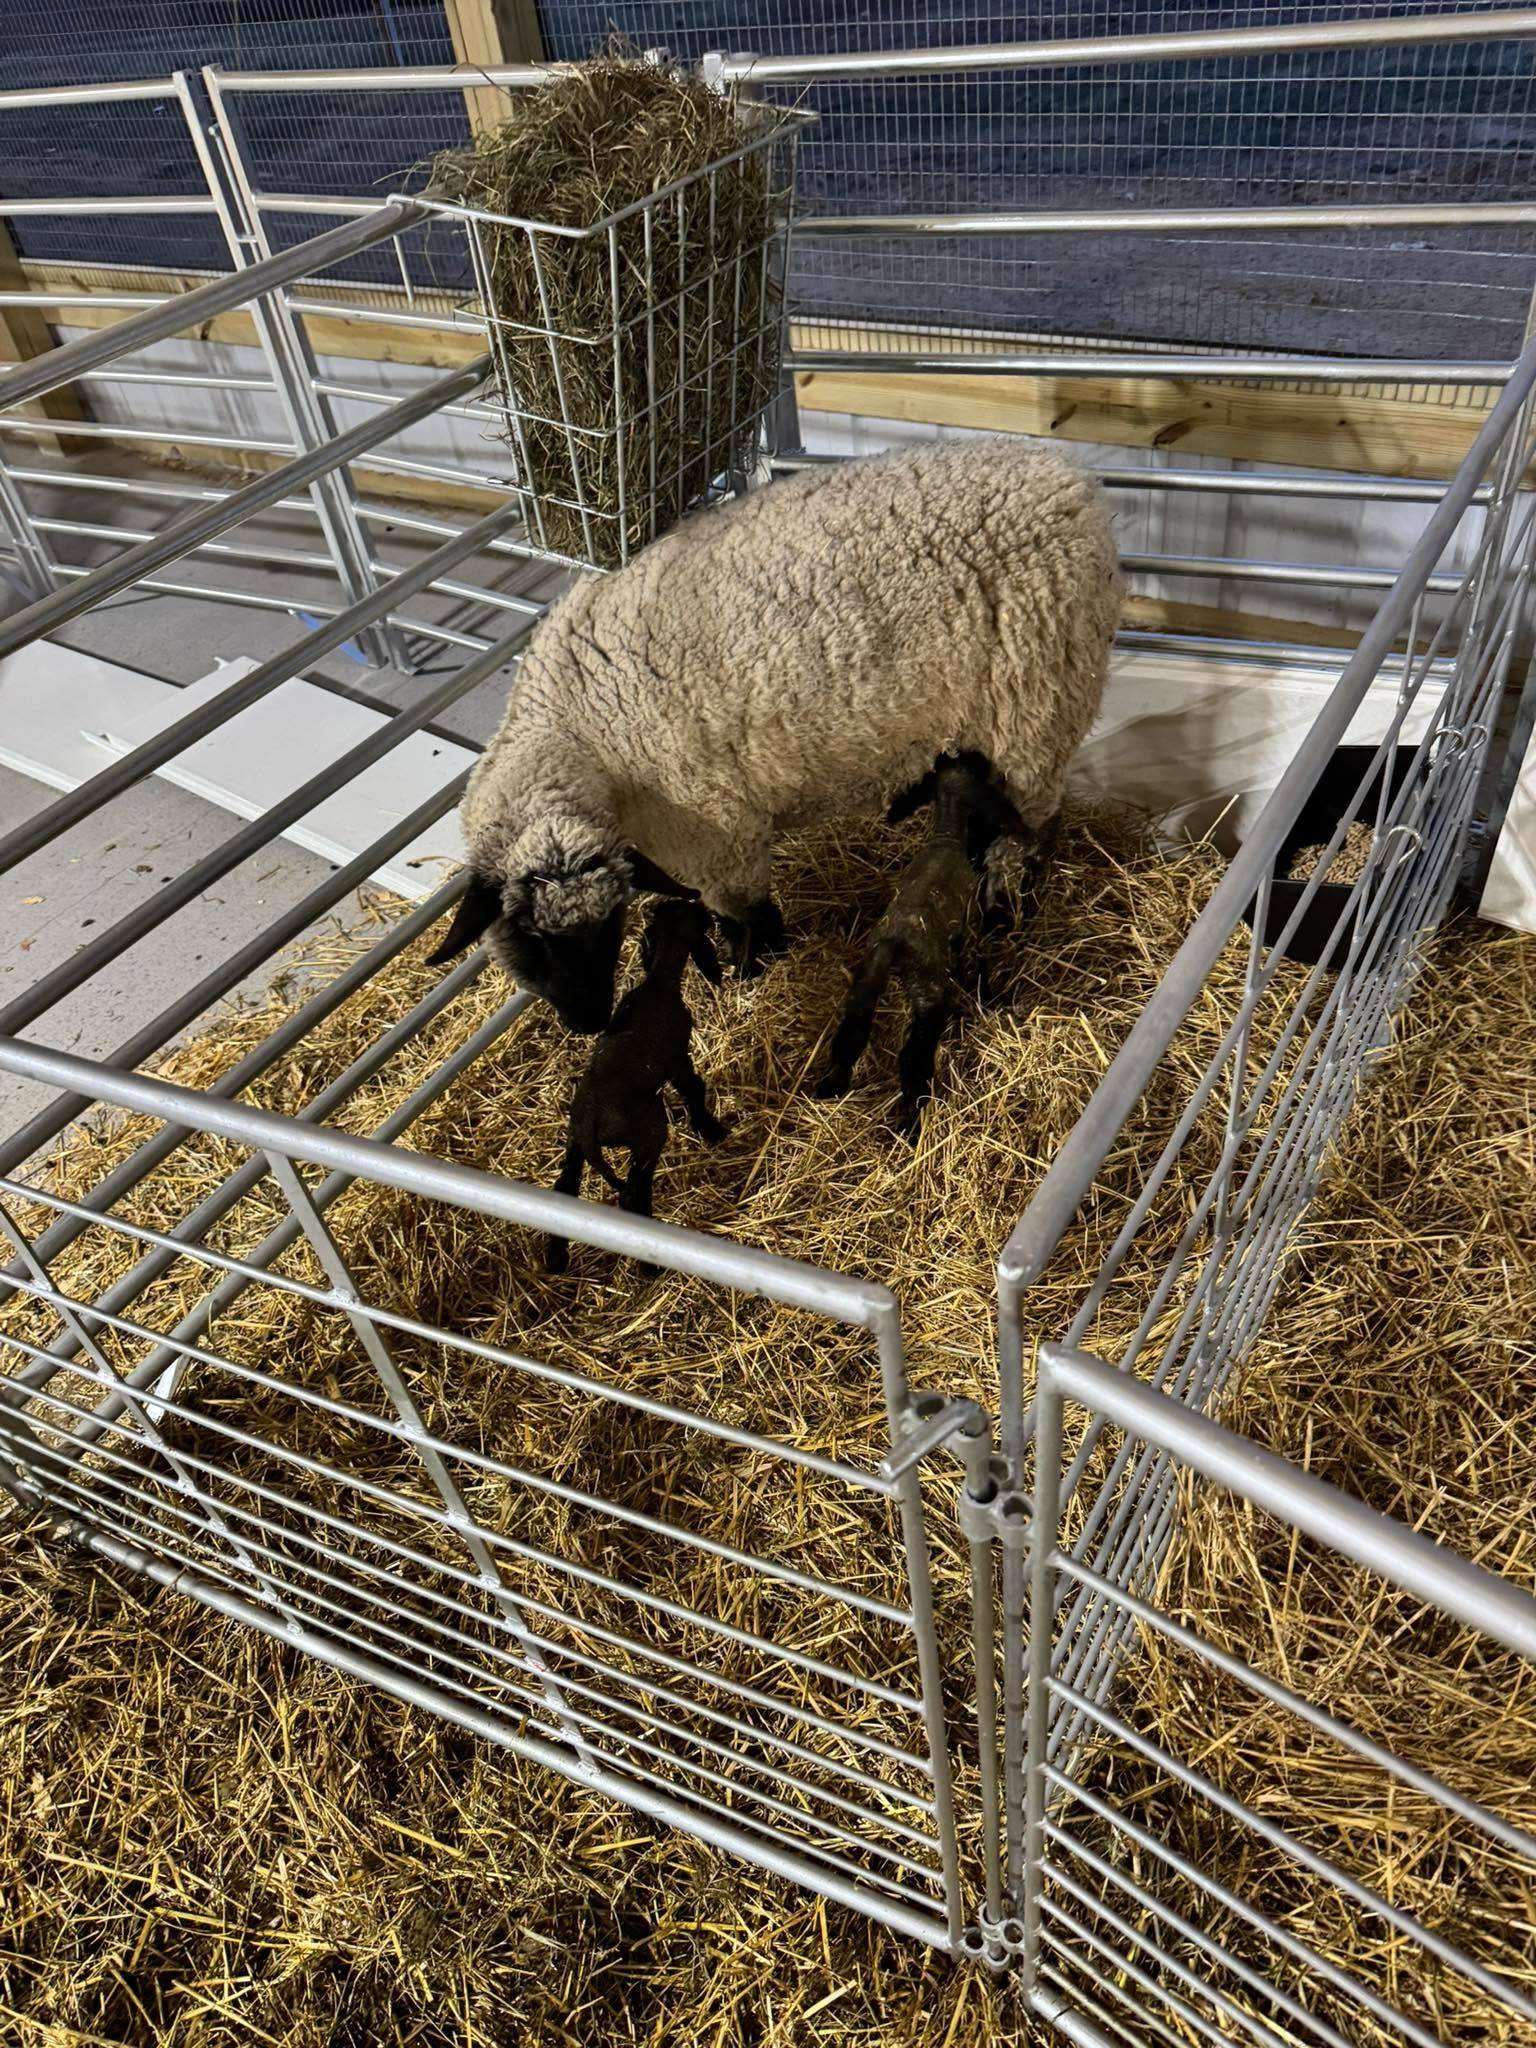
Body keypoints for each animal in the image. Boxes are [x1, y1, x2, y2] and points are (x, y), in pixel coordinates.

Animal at [429, 438, 1122, 1033]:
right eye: (533, 936)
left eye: (606, 926)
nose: (589, 1022)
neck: (577, 730)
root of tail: (1072, 485)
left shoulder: (715, 835)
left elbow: (747, 916)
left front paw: (748, 974)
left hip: (1035, 704)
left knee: (1028, 833)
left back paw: (1006, 910)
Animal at [543, 899, 725, 1274]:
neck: (658, 983)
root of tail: (590, 1123)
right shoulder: (677, 1056)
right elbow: (693, 1088)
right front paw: (710, 1128)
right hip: (648, 1135)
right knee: (631, 1194)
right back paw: (651, 1262)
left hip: (574, 1147)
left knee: (564, 1190)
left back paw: (556, 1258)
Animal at [814, 754, 1015, 1138]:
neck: (947, 836)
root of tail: (894, 944)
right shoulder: (968, 930)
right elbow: (975, 965)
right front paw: (991, 998)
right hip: (928, 992)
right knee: (913, 1057)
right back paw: (910, 1123)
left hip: (864, 983)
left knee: (850, 1036)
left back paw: (831, 1086)